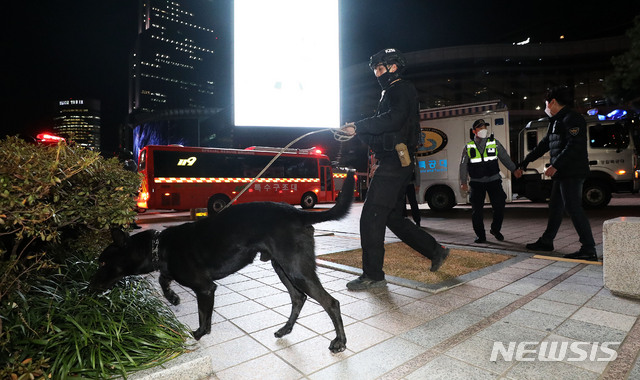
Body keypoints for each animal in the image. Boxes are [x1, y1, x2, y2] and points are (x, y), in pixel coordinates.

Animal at [91, 171, 356, 352]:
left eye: (103, 264)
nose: (89, 288)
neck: (160, 247)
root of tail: (298, 212)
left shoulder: (205, 288)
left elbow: (202, 316)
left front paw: (198, 334)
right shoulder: (178, 275)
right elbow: (163, 279)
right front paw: (173, 297)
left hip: (296, 269)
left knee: (331, 303)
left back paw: (340, 341)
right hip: (282, 267)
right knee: (298, 298)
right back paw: (285, 329)